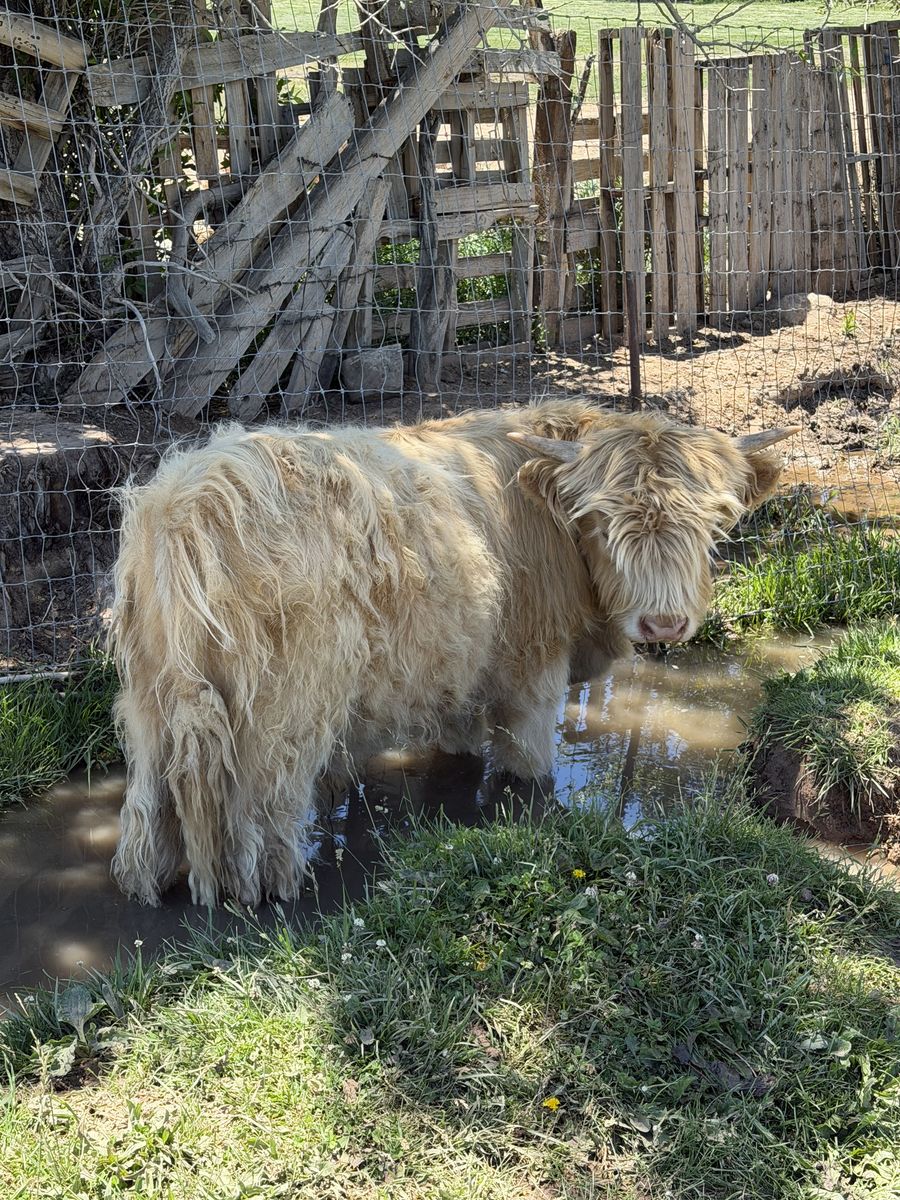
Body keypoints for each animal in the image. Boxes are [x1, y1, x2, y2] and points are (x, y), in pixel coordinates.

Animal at [108, 400, 797, 907]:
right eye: (603, 522)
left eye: (711, 523)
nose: (665, 622)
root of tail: (191, 500)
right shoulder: (531, 668)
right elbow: (527, 760)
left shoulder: (459, 670)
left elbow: (461, 742)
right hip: (281, 715)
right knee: (262, 812)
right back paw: (268, 892)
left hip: (151, 705)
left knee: (149, 811)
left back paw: (153, 883)